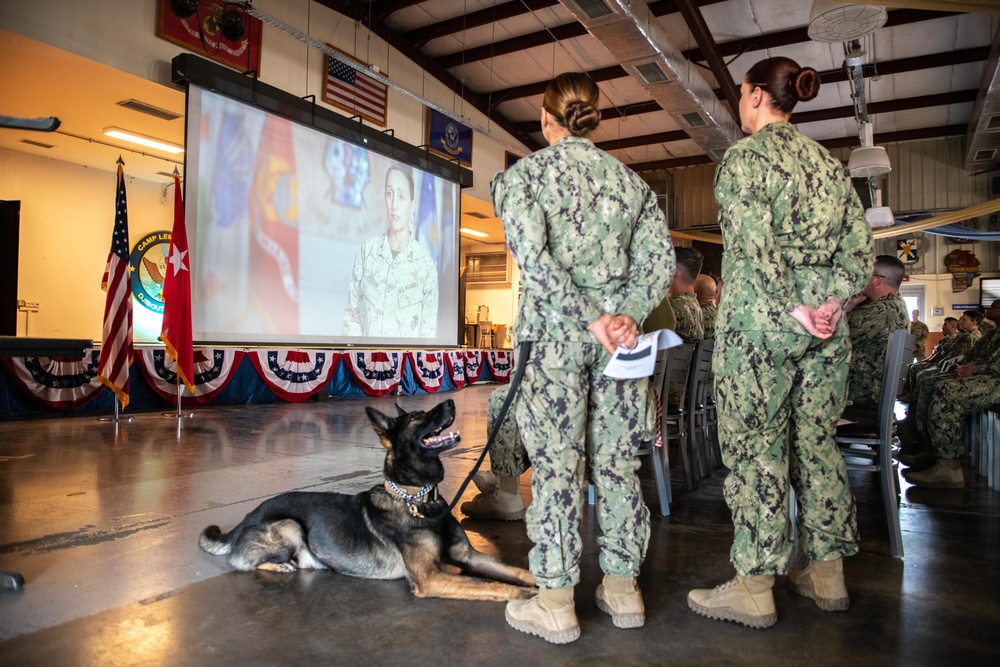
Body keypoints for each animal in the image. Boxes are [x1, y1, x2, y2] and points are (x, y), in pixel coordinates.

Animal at [197, 400, 540, 604]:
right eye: (416, 417)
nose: (450, 402)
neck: (418, 499)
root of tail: (245, 518)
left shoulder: (468, 555)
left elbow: (515, 570)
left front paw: (543, 581)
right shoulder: (429, 579)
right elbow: (490, 584)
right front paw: (524, 593)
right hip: (289, 526)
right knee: (242, 562)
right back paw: (281, 565)